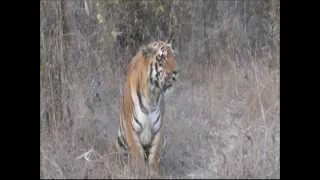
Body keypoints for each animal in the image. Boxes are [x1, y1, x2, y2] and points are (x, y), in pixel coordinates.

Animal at [115, 39, 180, 176]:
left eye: (173, 56)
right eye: (162, 57)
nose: (176, 72)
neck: (152, 95)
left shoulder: (158, 129)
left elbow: (154, 156)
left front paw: (154, 173)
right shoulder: (131, 128)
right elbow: (137, 155)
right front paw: (139, 172)